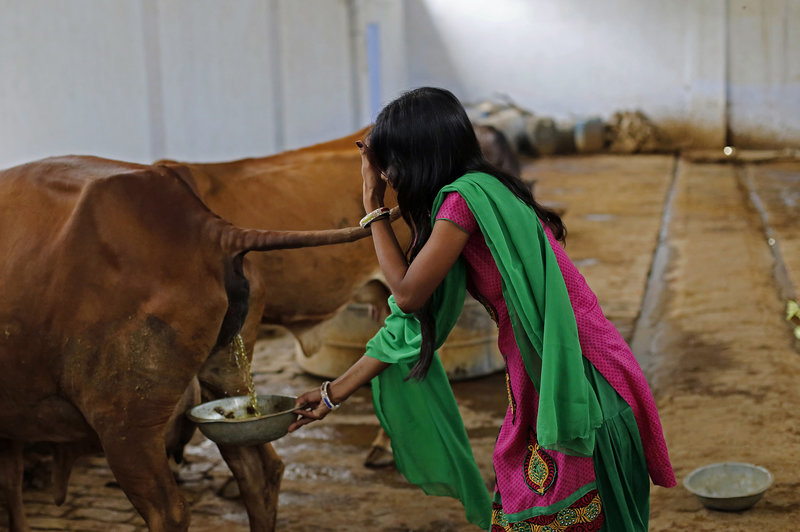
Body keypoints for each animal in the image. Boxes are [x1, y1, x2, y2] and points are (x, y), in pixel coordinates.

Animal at [0, 156, 378, 528]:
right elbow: (11, 481)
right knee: (260, 470)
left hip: (125, 424)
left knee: (169, 511)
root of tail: (211, 230)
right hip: (226, 378)